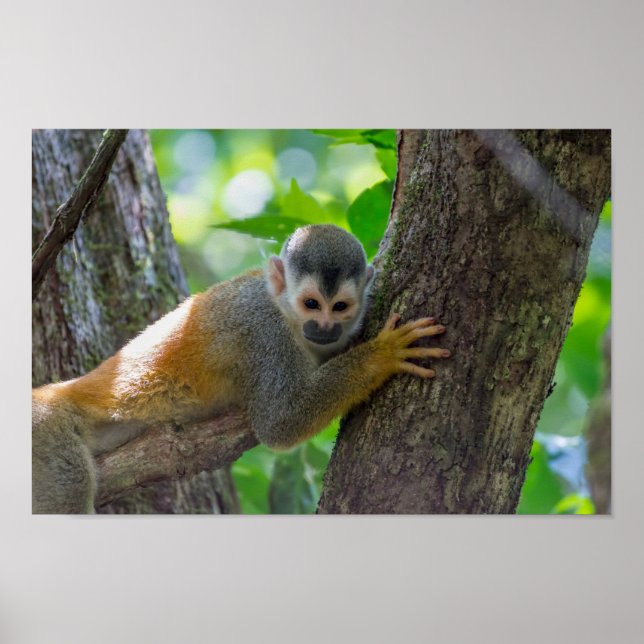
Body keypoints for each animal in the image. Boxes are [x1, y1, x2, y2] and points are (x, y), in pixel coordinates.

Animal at [32, 224, 450, 513]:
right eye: (312, 304)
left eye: (340, 307)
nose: (324, 327)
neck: (283, 310)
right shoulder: (265, 334)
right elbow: (281, 422)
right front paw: (383, 354)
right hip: (46, 434)